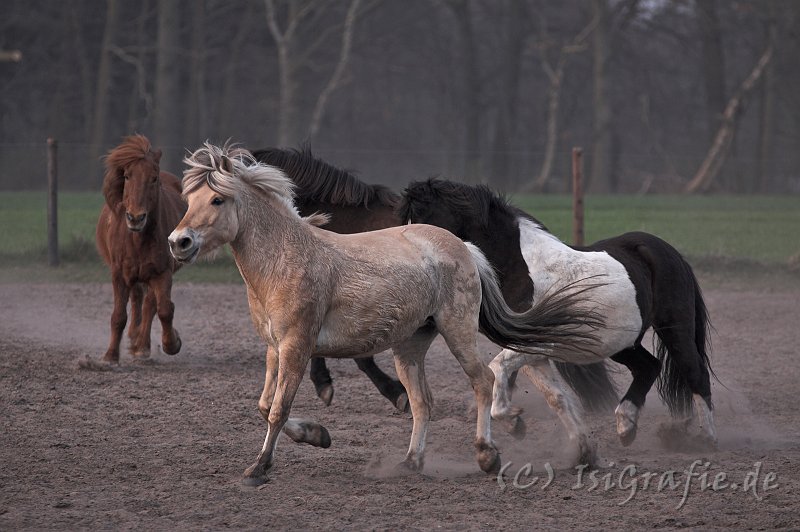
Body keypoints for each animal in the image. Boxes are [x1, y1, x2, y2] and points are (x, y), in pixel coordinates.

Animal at [81, 134, 188, 366]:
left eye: (154, 178)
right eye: (127, 176)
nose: (136, 217)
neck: (138, 239)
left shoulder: (162, 273)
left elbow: (164, 310)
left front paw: (172, 343)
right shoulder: (119, 274)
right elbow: (119, 315)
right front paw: (111, 356)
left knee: (149, 305)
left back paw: (142, 346)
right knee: (138, 299)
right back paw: (134, 339)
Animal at [170, 143, 608, 484]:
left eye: (217, 199)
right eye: (188, 201)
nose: (179, 242)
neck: (287, 258)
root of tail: (464, 246)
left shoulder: (296, 345)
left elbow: (278, 408)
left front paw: (259, 468)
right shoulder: (274, 348)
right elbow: (265, 405)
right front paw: (317, 435)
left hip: (458, 330)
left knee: (483, 380)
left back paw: (488, 454)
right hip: (409, 347)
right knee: (424, 401)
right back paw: (411, 462)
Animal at [400, 178, 720, 462]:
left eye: (423, 218)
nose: (413, 268)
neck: (516, 266)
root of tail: (666, 251)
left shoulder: (539, 343)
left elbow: (498, 369)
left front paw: (513, 421)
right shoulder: (533, 350)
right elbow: (557, 398)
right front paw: (580, 450)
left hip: (674, 329)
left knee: (695, 373)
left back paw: (706, 440)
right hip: (619, 342)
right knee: (649, 366)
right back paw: (626, 425)